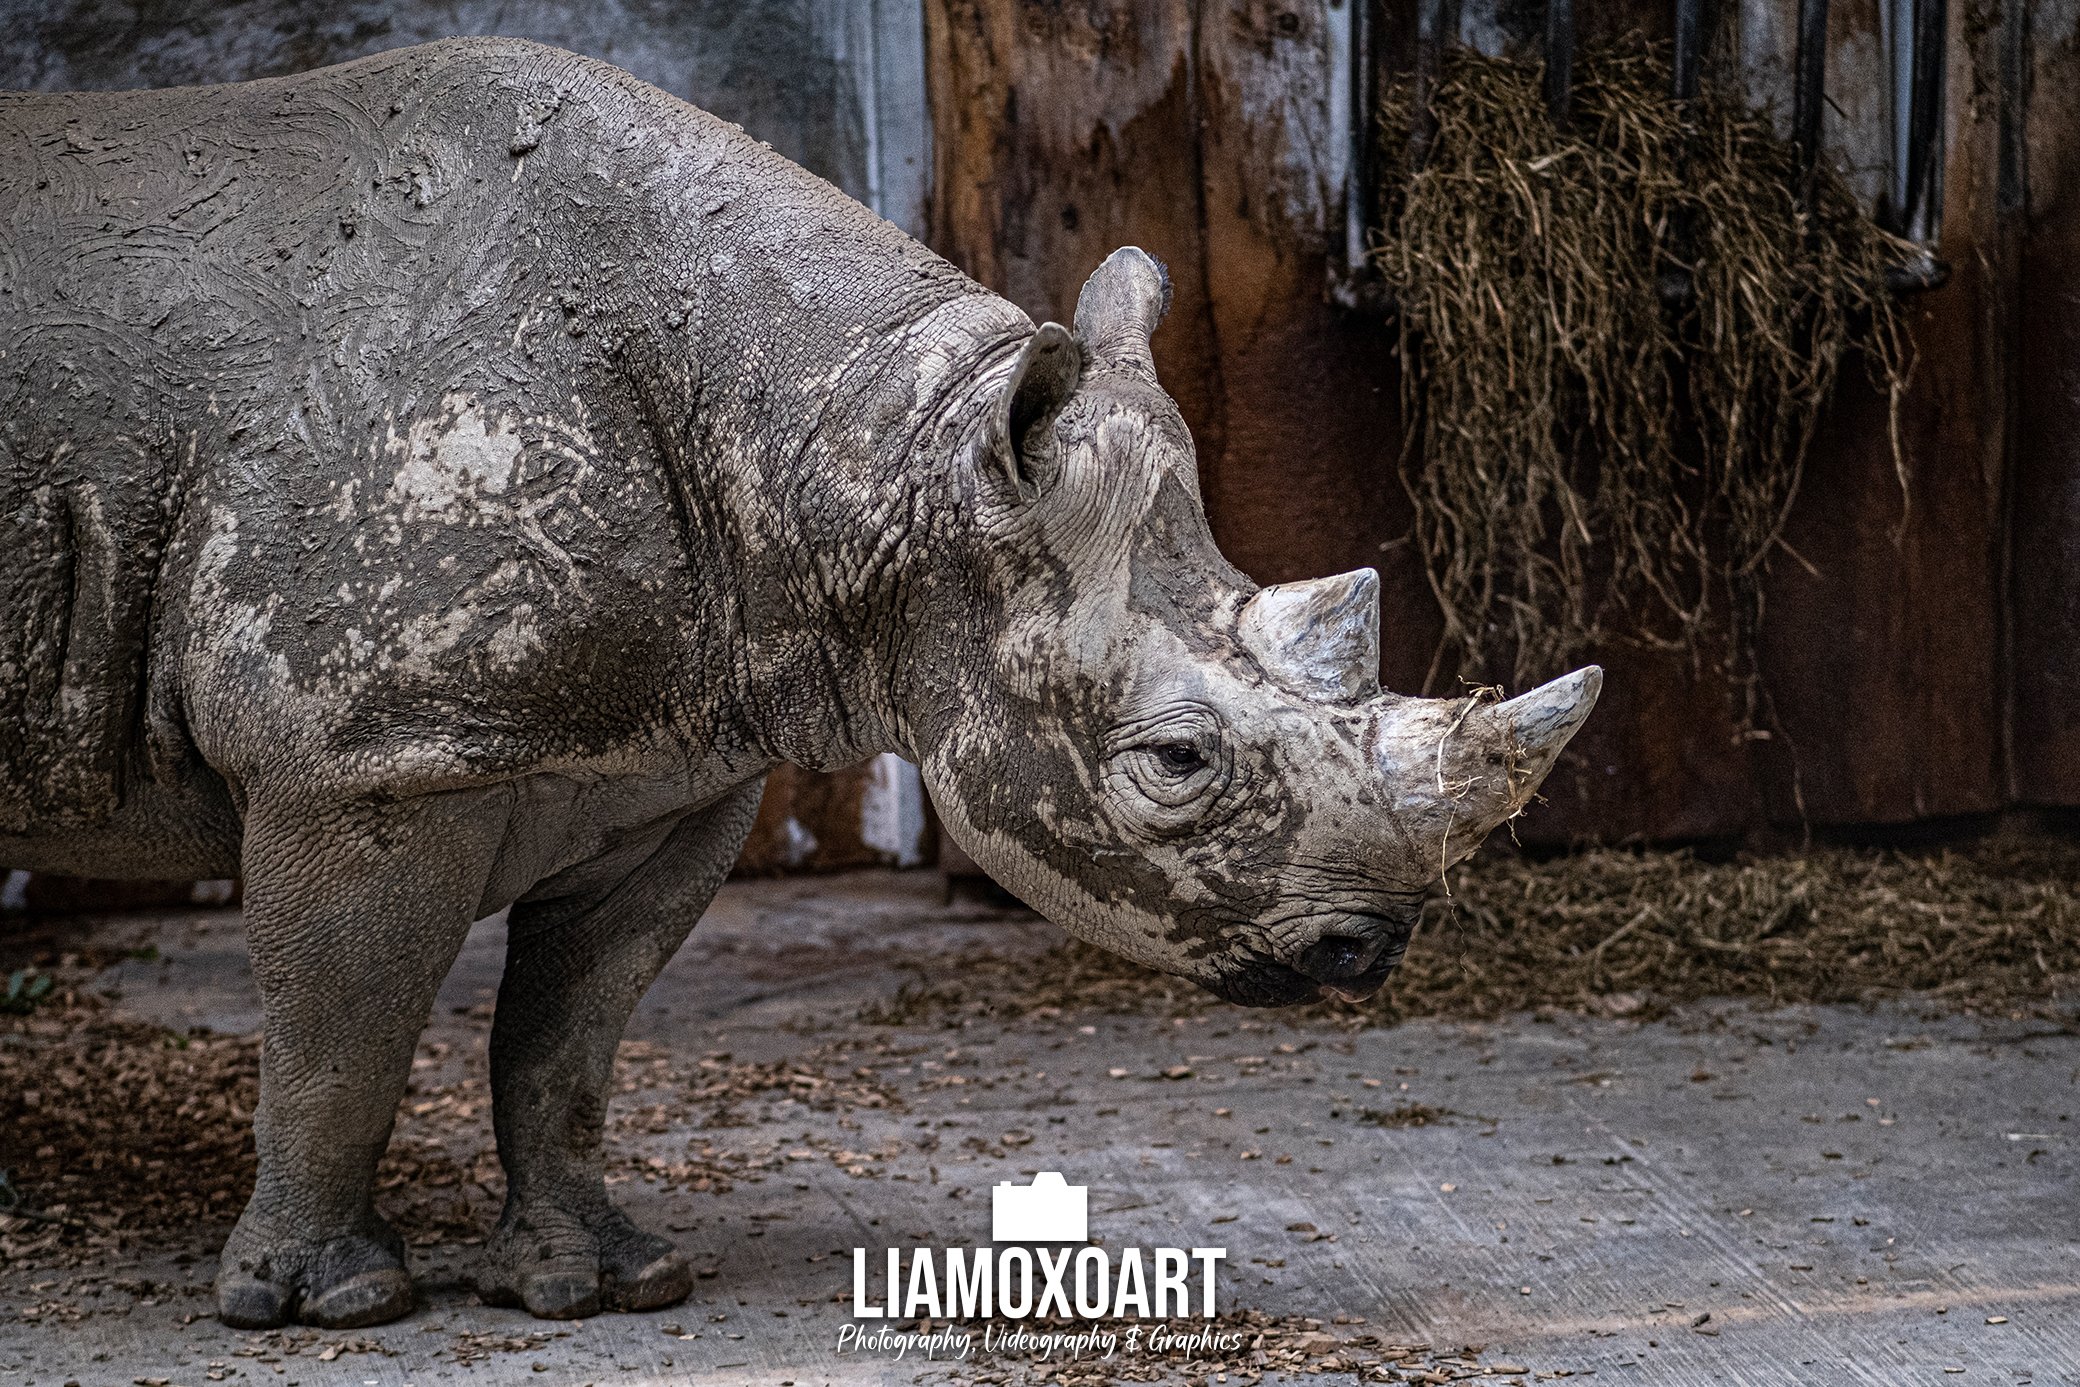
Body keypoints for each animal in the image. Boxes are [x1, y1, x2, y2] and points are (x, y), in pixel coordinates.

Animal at [0, 39, 1599, 1329]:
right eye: (1173, 763)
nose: (1367, 949)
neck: (861, 448)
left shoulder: (662, 758)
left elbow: (571, 1031)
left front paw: (602, 1282)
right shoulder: (360, 753)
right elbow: (345, 1033)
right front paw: (334, 1303)